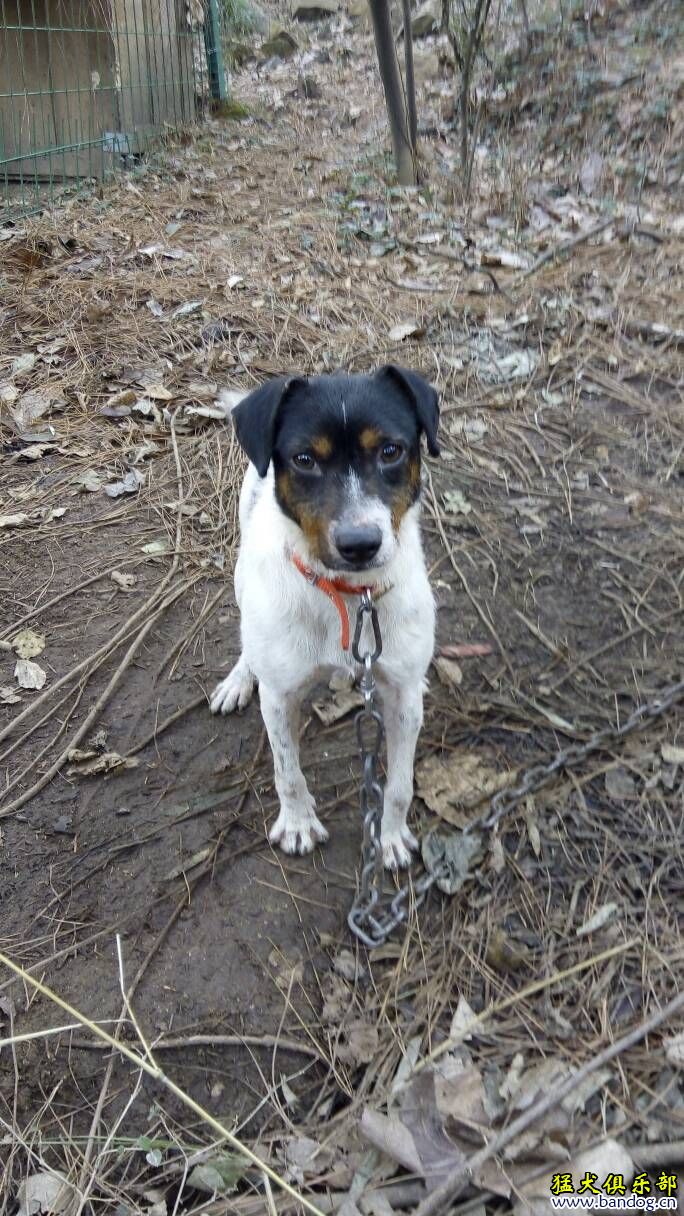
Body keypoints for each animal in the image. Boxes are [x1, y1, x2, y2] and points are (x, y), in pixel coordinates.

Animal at [210, 364, 438, 870]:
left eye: (390, 451)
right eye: (304, 459)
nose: (360, 544)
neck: (349, 597)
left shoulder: (401, 698)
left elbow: (399, 784)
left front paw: (390, 836)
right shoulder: (278, 696)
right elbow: (287, 771)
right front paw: (297, 823)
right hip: (241, 575)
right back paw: (239, 678)